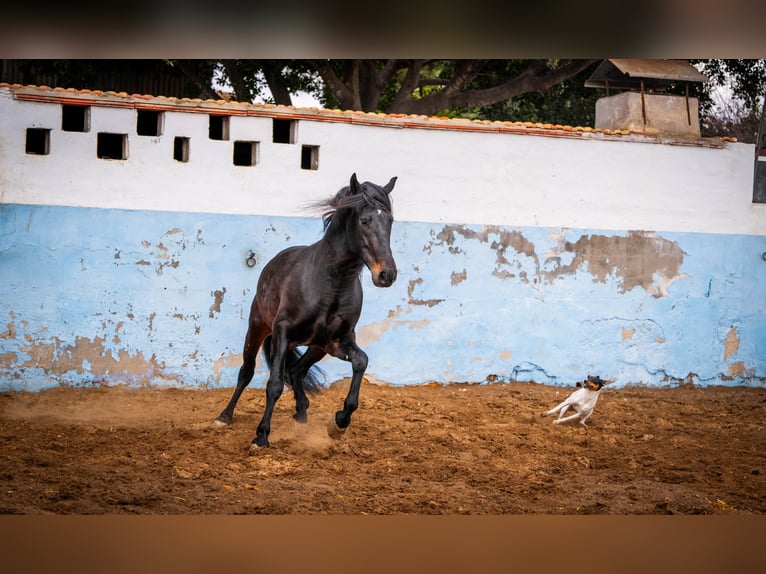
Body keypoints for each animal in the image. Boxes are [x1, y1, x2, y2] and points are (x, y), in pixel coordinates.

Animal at [214, 176, 400, 450]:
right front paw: (261, 436)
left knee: (296, 370)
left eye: (390, 221)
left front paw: (340, 421)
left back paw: (301, 413)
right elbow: (274, 385)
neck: (330, 282)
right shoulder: (282, 332)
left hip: (317, 347)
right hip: (258, 329)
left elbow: (361, 361)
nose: (387, 274)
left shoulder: (339, 340)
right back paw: (225, 416)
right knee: (247, 372)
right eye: (364, 221)